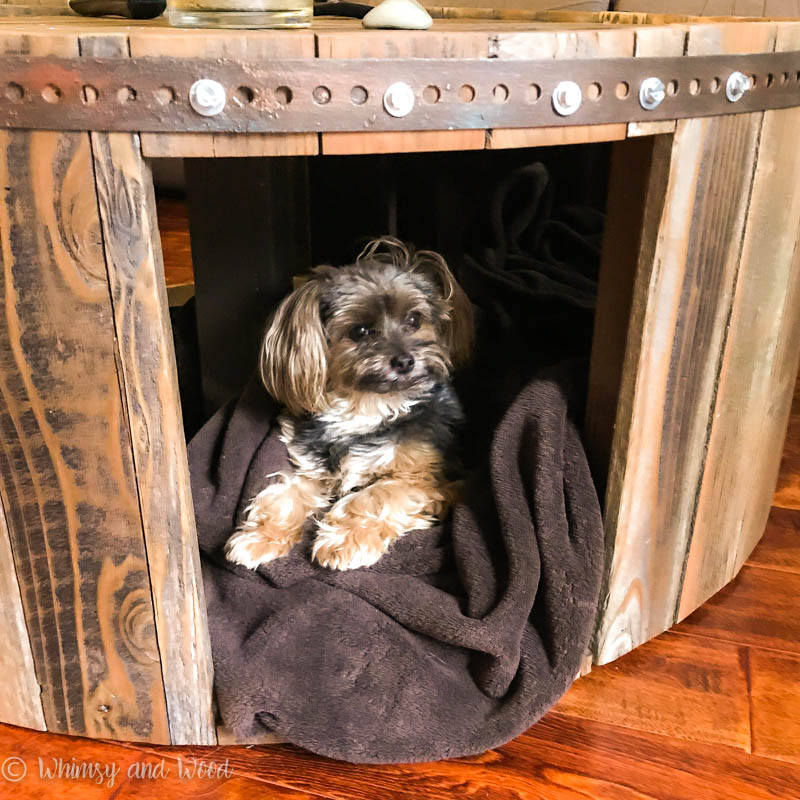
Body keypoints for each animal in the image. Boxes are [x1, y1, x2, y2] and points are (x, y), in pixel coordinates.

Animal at [225, 239, 472, 576]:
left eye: (414, 320)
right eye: (360, 332)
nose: (405, 361)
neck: (366, 406)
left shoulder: (419, 476)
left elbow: (374, 496)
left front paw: (343, 540)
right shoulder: (312, 468)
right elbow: (284, 494)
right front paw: (259, 537)